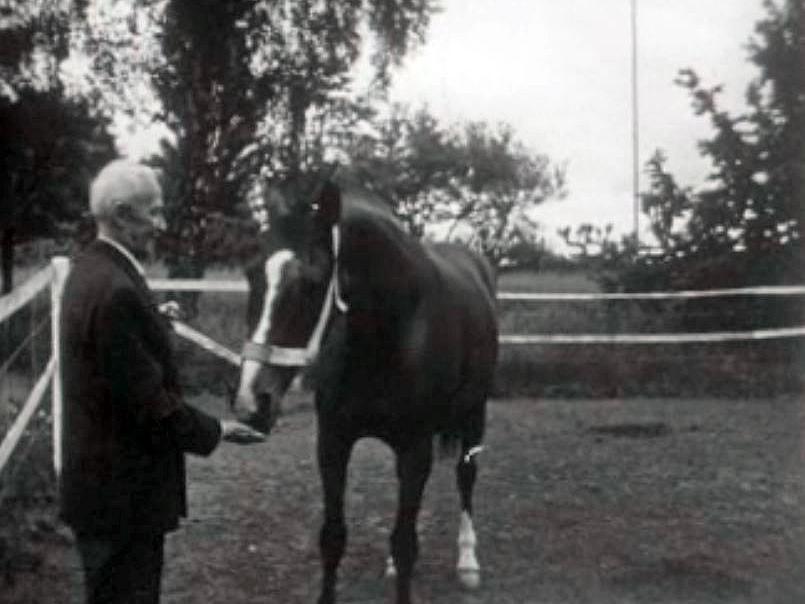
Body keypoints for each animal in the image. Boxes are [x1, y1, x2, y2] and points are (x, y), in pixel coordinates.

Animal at [231, 176, 496, 604]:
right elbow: (333, 538)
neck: (388, 336)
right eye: (251, 272)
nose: (251, 401)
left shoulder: (415, 447)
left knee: (466, 476)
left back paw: (468, 563)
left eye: (312, 282)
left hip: (475, 413)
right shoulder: (333, 442)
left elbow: (405, 544)